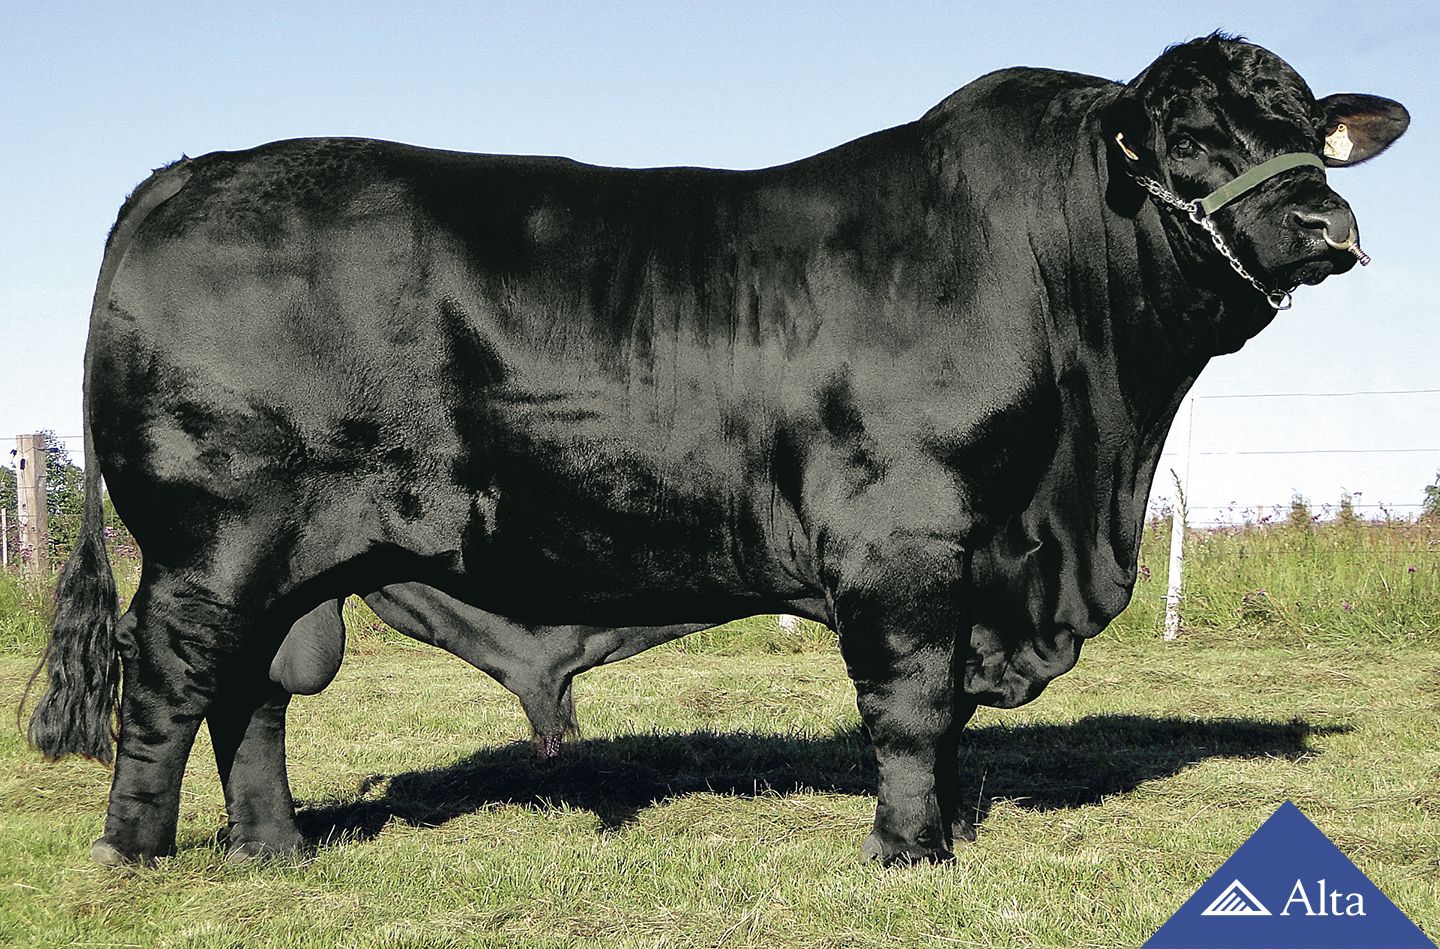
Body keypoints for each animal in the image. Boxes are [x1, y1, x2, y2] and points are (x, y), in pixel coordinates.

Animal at [28, 35, 1411, 869]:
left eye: (1305, 126)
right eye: (1190, 141)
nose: (1324, 220)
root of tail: (193, 170)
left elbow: (947, 712)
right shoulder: (907, 532)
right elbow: (912, 701)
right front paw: (909, 851)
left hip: (293, 555)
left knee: (253, 692)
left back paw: (275, 846)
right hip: (216, 536)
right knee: (176, 677)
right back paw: (132, 851)